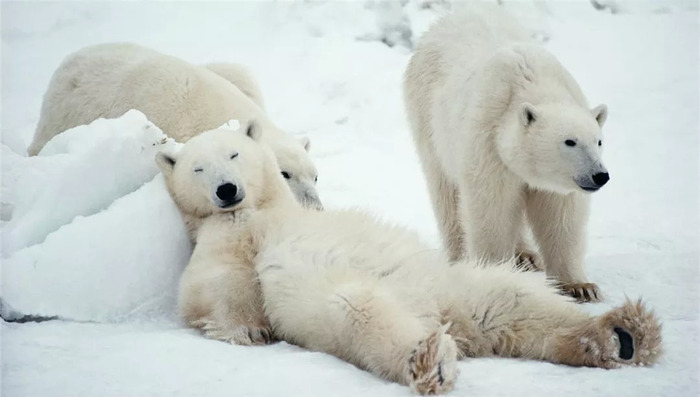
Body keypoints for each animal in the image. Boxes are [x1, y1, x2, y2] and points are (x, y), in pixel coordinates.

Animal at [157, 123, 660, 392]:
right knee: (361, 312)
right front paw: (248, 329)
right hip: (353, 302)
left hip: (458, 285)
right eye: (198, 167)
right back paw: (430, 359)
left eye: (234, 154)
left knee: (513, 300)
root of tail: (446, 319)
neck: (260, 209)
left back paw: (622, 335)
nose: (227, 190)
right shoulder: (228, 236)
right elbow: (211, 284)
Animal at [404, 6, 612, 302]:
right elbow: (492, 205)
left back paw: (526, 255)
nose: (599, 175)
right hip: (428, 119)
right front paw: (493, 274)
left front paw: (581, 286)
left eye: (598, 141)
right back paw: (459, 255)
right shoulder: (488, 141)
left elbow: (562, 215)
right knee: (445, 192)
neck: (534, 84)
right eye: (569, 142)